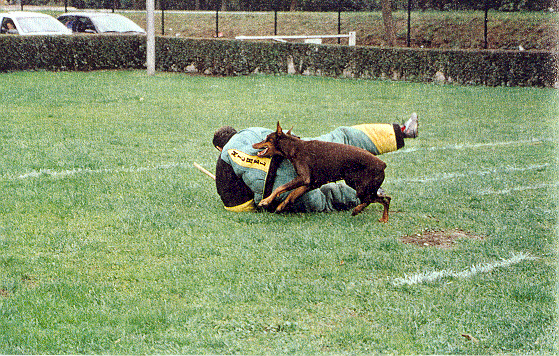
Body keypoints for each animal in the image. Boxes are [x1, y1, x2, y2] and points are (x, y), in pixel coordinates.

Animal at [255, 123, 394, 222]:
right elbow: (292, 194)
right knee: (386, 199)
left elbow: (280, 188)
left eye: (267, 138)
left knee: (372, 200)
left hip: (360, 187)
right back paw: (384, 218)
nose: (254, 144)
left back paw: (357, 210)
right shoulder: (311, 183)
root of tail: (383, 165)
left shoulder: (304, 178)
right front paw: (281, 206)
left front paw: (265, 201)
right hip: (363, 186)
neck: (294, 147)